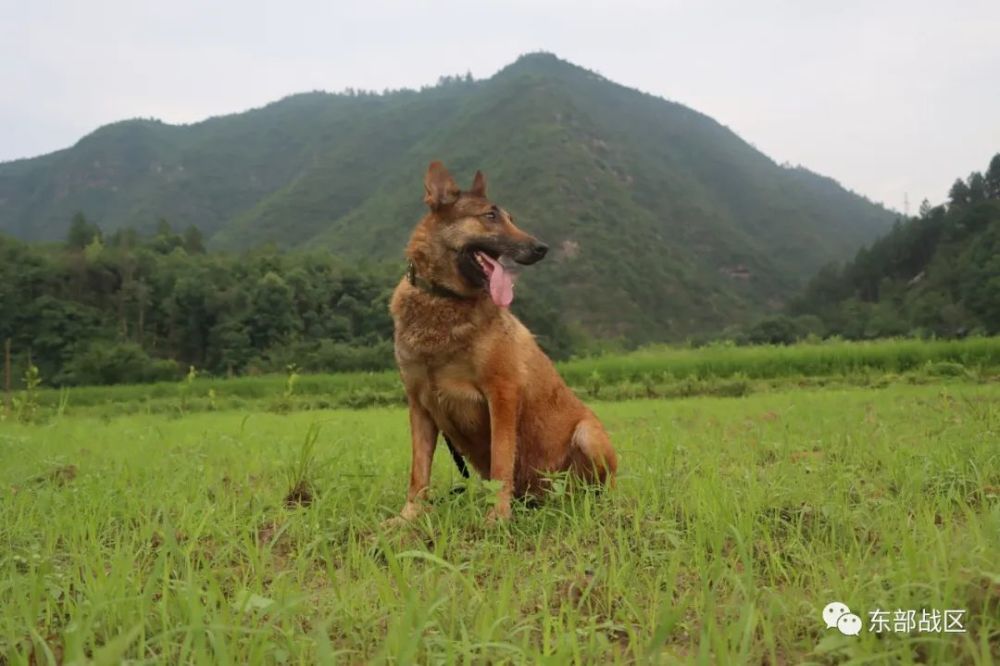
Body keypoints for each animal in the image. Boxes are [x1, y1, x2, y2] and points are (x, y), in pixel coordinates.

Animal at [386, 160, 612, 520]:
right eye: (490, 216)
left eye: (511, 218)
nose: (541, 248)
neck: (444, 300)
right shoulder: (419, 404)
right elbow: (418, 472)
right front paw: (408, 517)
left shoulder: (502, 394)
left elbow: (502, 462)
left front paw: (498, 517)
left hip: (589, 435)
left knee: (596, 491)